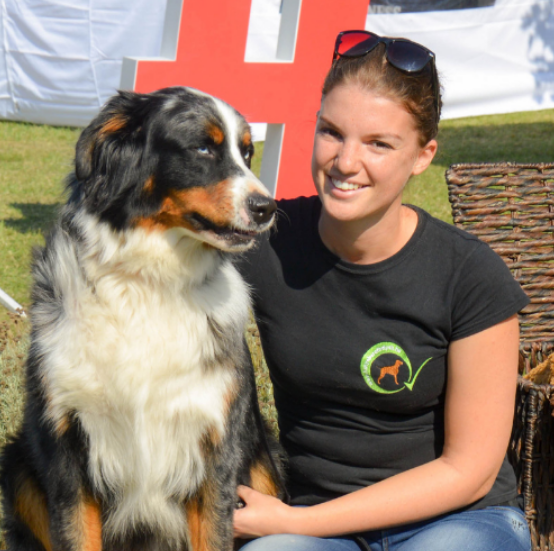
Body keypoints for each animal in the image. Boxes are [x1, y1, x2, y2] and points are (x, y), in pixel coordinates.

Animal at [0, 86, 285, 551]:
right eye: (202, 147)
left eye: (247, 152)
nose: (267, 207)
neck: (148, 280)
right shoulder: (66, 449)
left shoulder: (216, 446)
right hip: (19, 466)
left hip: (263, 463)